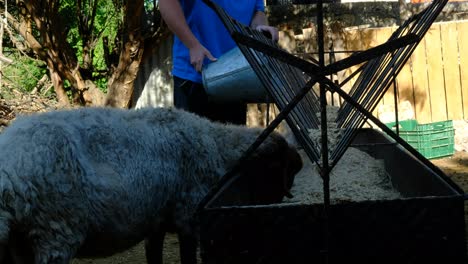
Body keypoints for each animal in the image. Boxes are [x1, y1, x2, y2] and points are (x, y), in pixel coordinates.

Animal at [0, 106, 304, 264]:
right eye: (282, 169)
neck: (217, 147)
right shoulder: (188, 216)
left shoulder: (156, 222)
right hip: (55, 232)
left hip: (22, 243)